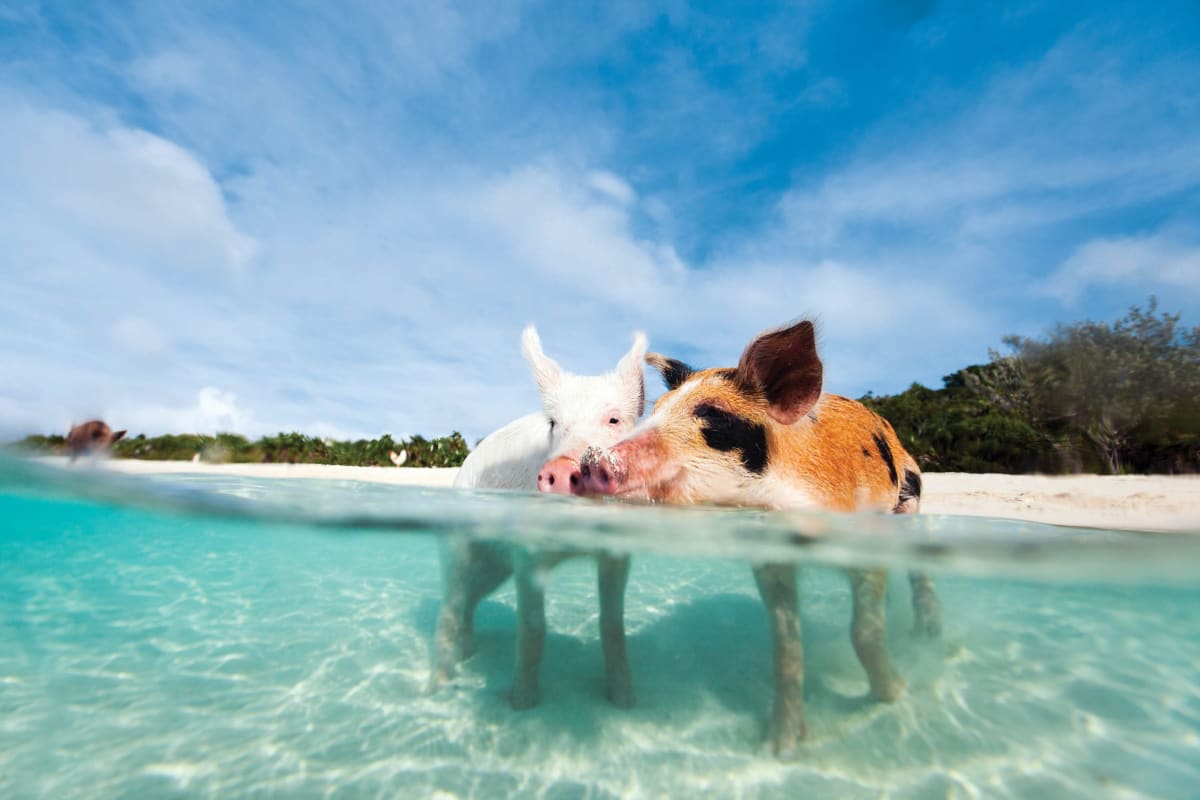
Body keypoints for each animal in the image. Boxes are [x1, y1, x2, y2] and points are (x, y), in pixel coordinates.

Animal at [431, 325, 647, 710]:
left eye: (614, 419)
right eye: (553, 423)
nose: (560, 469)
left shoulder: (616, 553)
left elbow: (611, 624)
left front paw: (625, 701)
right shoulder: (527, 553)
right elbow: (533, 626)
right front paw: (522, 703)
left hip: (494, 568)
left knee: (469, 601)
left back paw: (469, 653)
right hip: (459, 544)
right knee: (450, 605)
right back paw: (437, 688)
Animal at [575, 319, 942, 757]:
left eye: (713, 415)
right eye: (657, 409)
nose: (590, 461)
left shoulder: (864, 540)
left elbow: (864, 631)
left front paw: (894, 695)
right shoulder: (771, 560)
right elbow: (786, 647)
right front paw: (780, 747)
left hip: (911, 499)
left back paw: (928, 637)